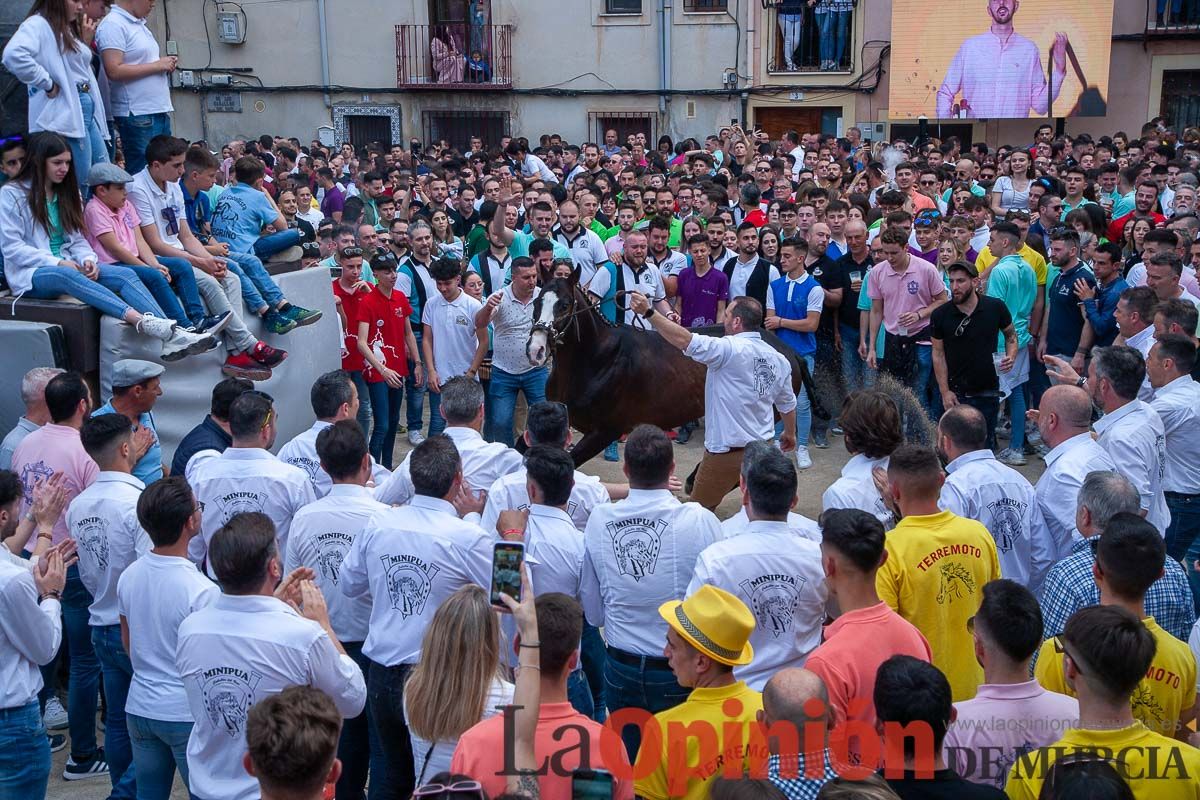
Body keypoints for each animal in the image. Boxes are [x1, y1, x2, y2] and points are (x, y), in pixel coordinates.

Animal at [525, 275, 816, 465]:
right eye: (537, 301)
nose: (535, 349)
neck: (596, 360)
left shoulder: (604, 431)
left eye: (564, 305)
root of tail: (790, 352)